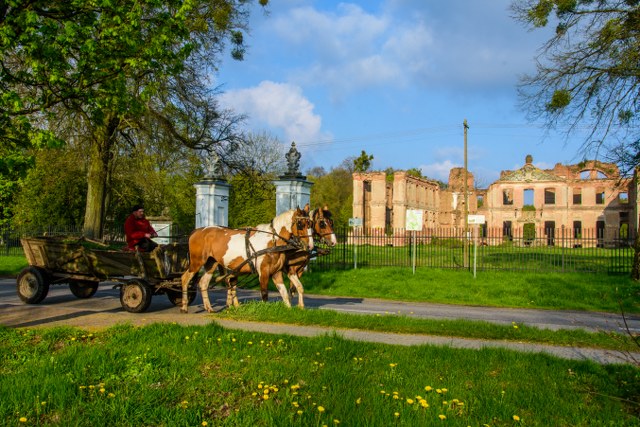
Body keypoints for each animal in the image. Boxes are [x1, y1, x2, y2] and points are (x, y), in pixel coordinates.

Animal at [180, 209, 312, 312]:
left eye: (310, 224)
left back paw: (209, 308)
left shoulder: (276, 272)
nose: (310, 246)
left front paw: (289, 310)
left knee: (203, 283)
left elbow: (284, 293)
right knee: (185, 278)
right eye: (300, 224)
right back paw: (184, 306)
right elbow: (264, 294)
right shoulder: (263, 272)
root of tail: (197, 231)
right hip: (197, 262)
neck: (272, 241)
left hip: (211, 264)